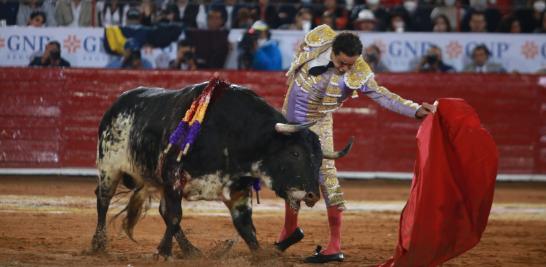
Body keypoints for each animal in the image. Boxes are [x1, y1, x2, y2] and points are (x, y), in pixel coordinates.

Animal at [91, 81, 350, 260]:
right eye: (295, 153)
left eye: (319, 160)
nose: (312, 195)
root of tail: (118, 103)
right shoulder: (174, 178)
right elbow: (175, 215)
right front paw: (162, 253)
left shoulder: (238, 189)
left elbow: (245, 226)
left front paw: (262, 255)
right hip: (109, 168)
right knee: (103, 201)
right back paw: (98, 244)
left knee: (163, 210)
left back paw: (191, 250)